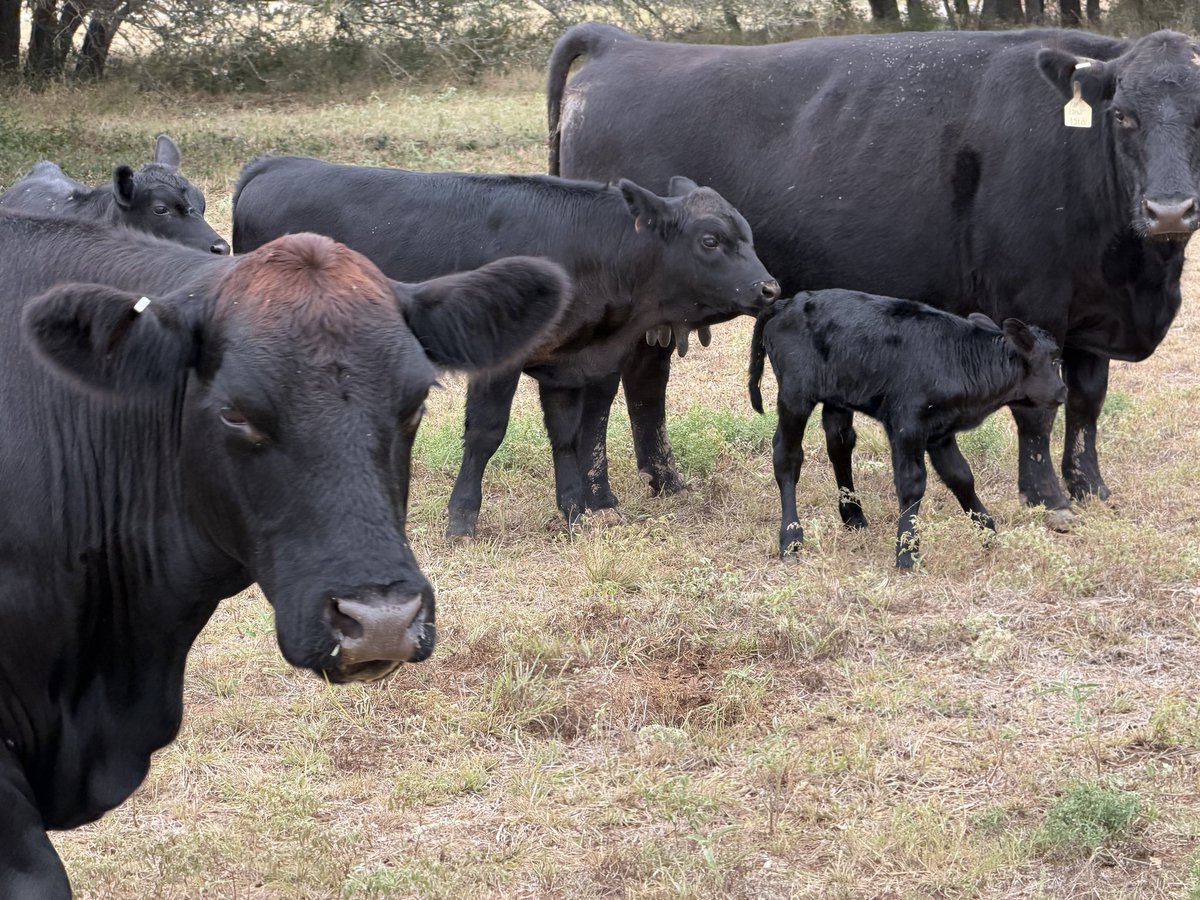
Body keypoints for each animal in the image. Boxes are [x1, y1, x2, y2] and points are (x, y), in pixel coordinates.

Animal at [231, 156, 779, 537]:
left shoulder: (566, 362)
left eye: (749, 236)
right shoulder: (499, 363)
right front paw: (462, 518)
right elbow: (486, 433)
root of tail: (275, 164)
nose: (769, 289)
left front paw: (574, 511)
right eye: (710, 240)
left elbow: (567, 435)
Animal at [548, 24, 1200, 528]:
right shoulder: (1032, 302)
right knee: (602, 386)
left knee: (646, 379)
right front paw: (1048, 498)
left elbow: (1087, 403)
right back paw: (601, 499)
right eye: (1123, 116)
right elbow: (1037, 409)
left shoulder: (1092, 312)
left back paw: (665, 479)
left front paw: (1090, 486)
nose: (1169, 210)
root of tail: (620, 42)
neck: (1137, 275)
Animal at [749, 290, 1067, 567]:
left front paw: (989, 535)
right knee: (787, 457)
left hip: (837, 397)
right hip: (795, 396)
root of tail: (789, 302)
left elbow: (961, 478)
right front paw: (907, 552)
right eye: (1054, 360)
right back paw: (791, 538)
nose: (1063, 391)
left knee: (839, 445)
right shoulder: (907, 425)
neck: (961, 359)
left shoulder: (941, 432)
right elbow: (912, 483)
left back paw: (853, 517)